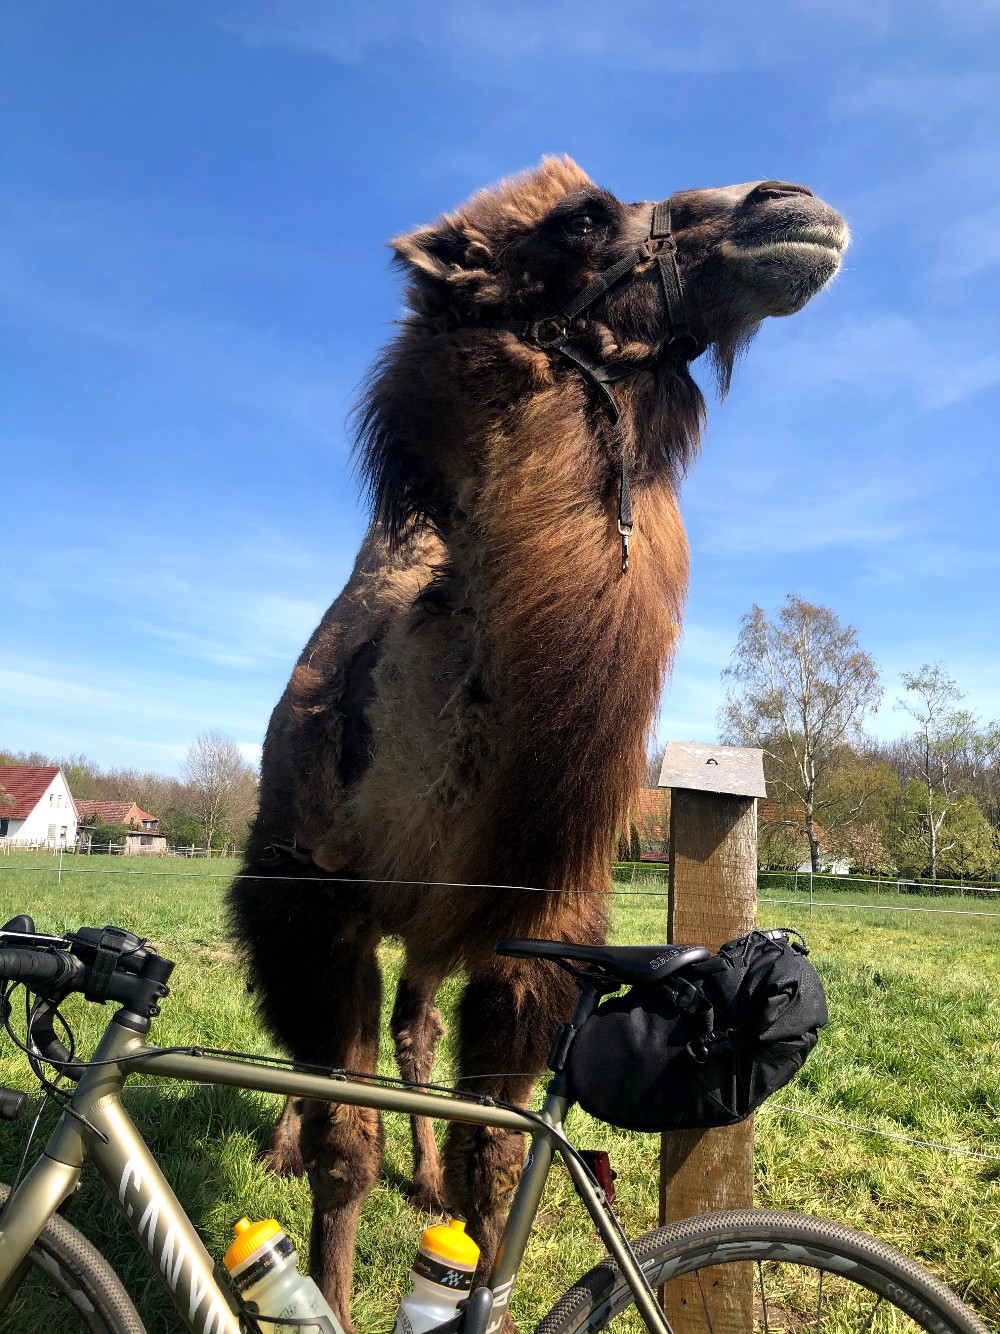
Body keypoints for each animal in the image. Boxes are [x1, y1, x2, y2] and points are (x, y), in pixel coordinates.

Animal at [228, 156, 848, 1328]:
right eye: (583, 222)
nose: (792, 206)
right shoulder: (316, 905)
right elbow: (342, 1138)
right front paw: (327, 1265)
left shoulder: (529, 932)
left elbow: (497, 1159)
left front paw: (466, 1241)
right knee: (318, 1060)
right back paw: (283, 1144)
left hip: (434, 933)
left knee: (416, 1033)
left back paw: (420, 1172)